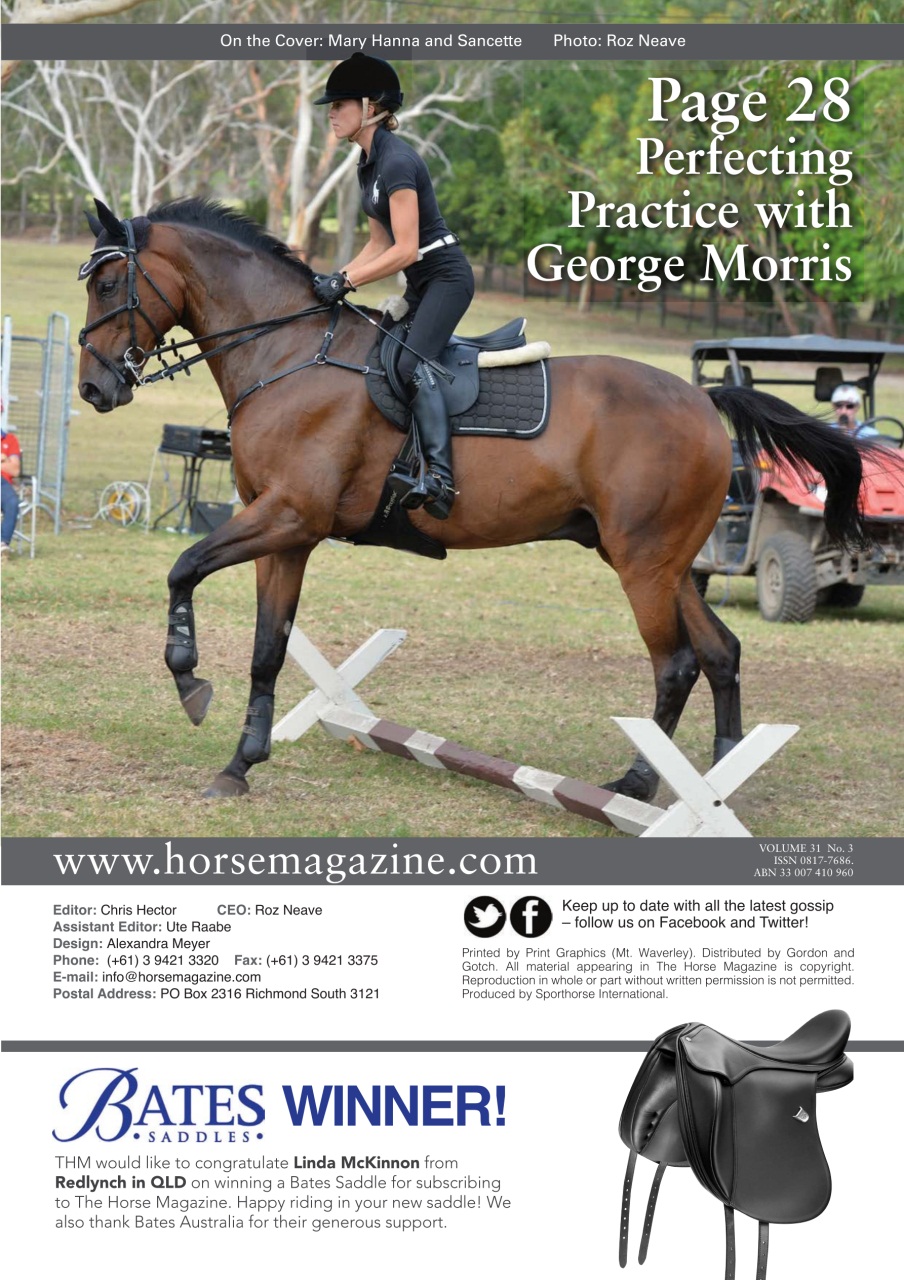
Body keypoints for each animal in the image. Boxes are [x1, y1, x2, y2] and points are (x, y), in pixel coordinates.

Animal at [77, 198, 874, 803]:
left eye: (109, 286)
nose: (94, 388)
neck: (289, 355)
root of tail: (704, 402)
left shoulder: (287, 516)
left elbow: (183, 567)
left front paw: (188, 680)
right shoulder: (287, 533)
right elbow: (267, 649)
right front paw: (241, 764)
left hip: (644, 564)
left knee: (676, 663)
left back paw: (640, 784)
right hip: (662, 561)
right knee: (720, 651)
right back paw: (716, 776)